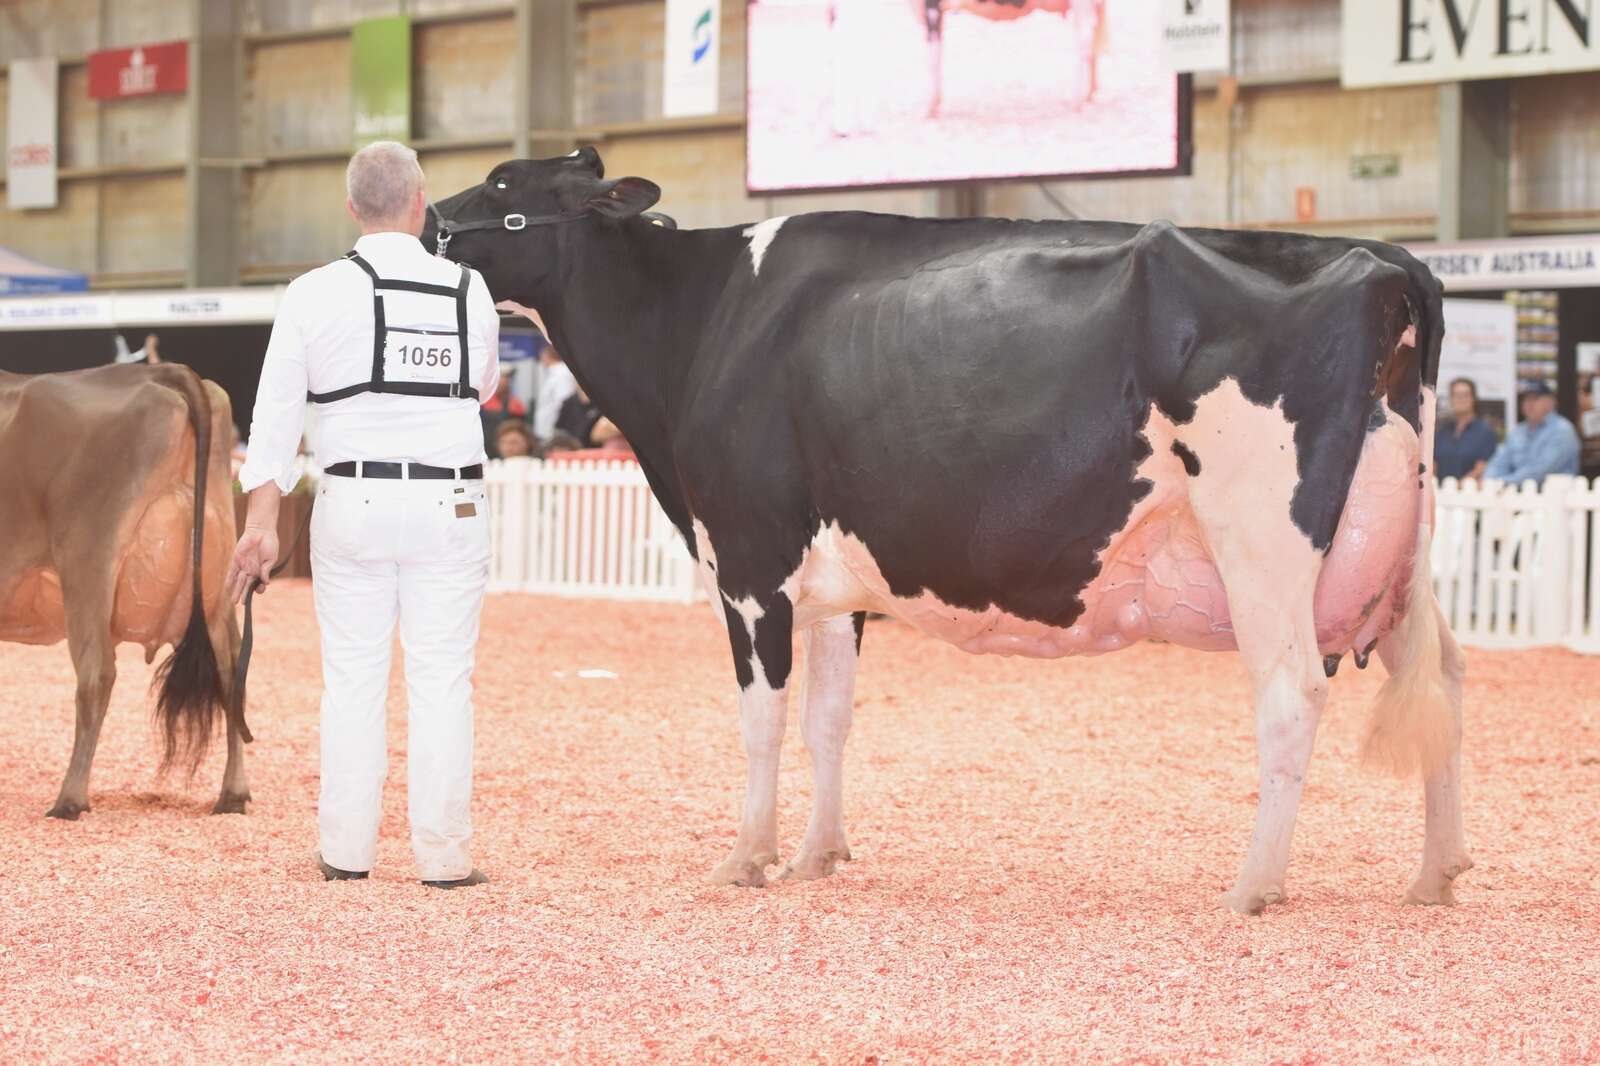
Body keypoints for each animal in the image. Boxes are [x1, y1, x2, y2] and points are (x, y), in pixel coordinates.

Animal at [0, 363, 252, 818]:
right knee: (231, 675)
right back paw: (232, 795)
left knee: (97, 673)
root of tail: (160, 371)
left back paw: (69, 800)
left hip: (87, 562)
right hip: (221, 571)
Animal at [426, 148, 1470, 914]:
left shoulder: (751, 561)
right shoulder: (833, 581)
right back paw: (1436, 873)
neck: (700, 320)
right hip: (1406, 549)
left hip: (1263, 537)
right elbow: (830, 718)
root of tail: (1390, 261)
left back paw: (1253, 887)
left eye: (507, 187)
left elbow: (763, 718)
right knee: (1444, 675)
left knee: (1292, 693)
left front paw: (746, 857)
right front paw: (818, 855)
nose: (430, 219)